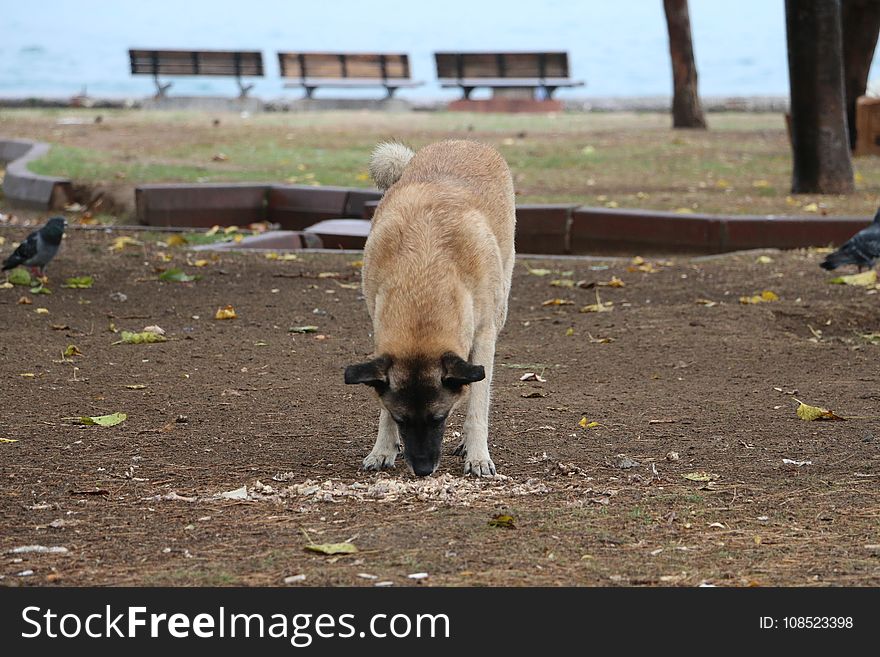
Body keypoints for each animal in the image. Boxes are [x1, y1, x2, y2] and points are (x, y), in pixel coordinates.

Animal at [344, 140, 516, 476]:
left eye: (440, 417)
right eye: (401, 419)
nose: (423, 469)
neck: (422, 280)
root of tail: (463, 142)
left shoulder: (483, 337)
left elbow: (477, 404)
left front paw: (478, 455)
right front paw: (383, 449)